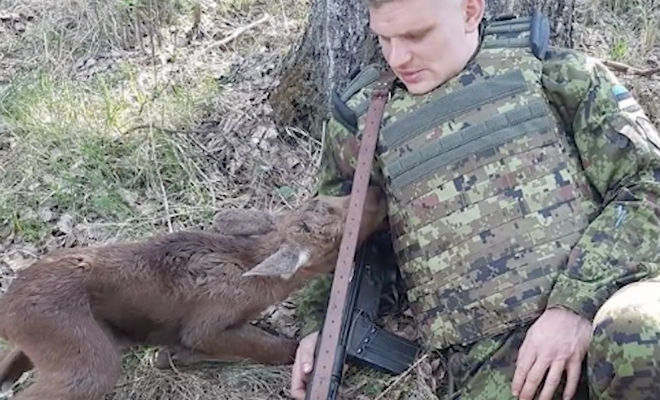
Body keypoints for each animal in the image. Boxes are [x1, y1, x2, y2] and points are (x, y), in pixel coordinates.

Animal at [0, 187, 387, 400]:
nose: (378, 191)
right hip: (88, 359)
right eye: (337, 238)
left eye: (328, 196)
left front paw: (169, 355)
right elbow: (268, 347)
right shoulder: (208, 322)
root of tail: (6, 311)